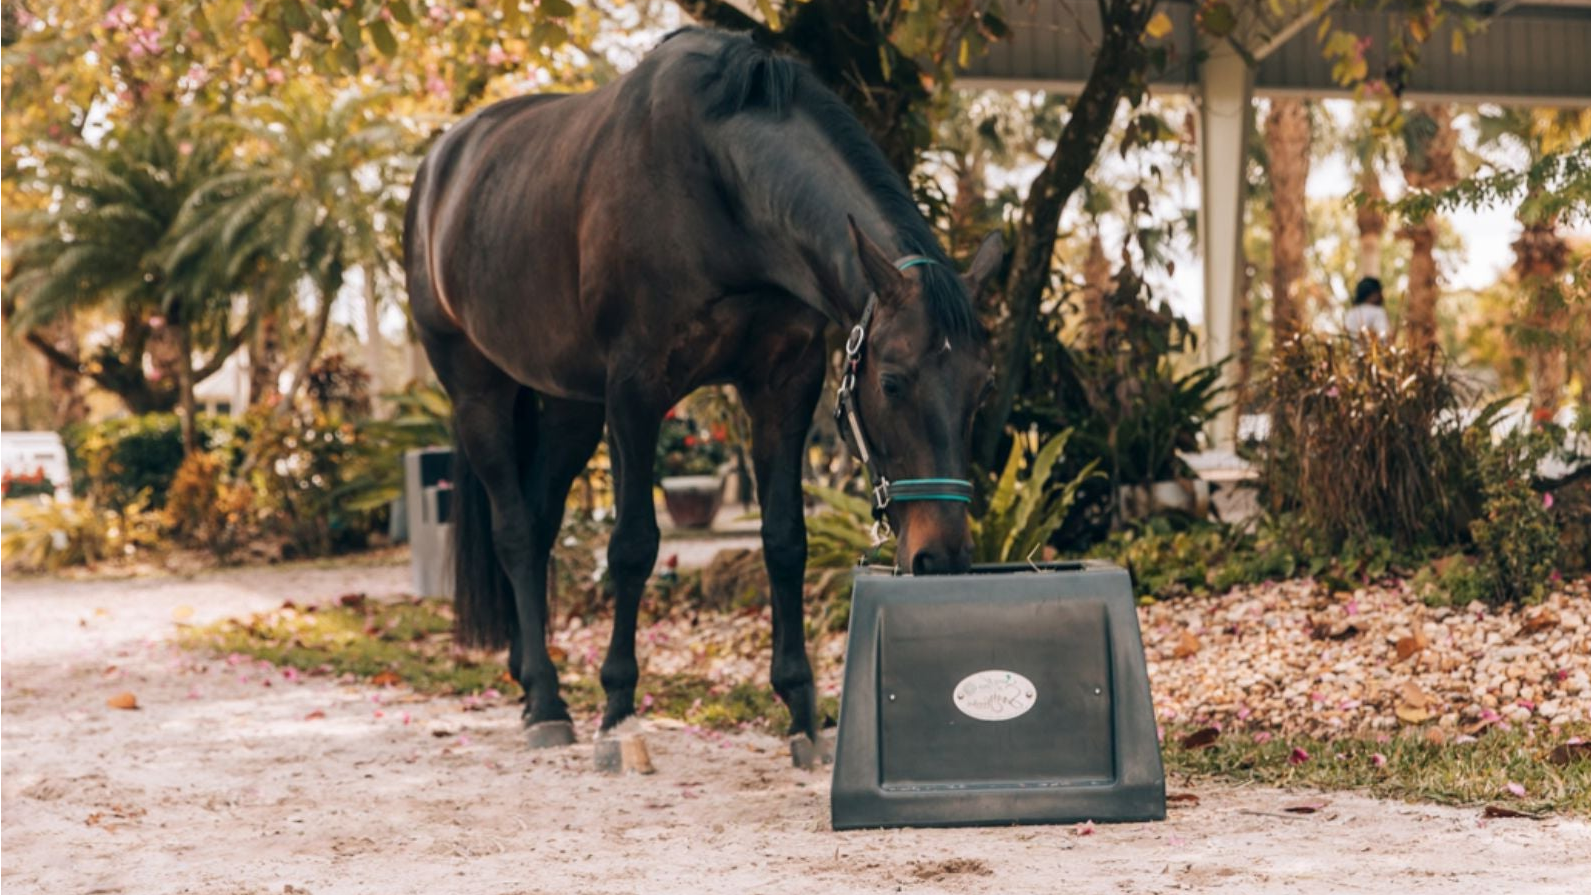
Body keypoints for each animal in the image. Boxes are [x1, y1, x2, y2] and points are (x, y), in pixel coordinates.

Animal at [404, 27, 1002, 763]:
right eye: (891, 381)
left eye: (982, 386)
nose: (941, 556)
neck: (719, 188)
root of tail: (441, 169)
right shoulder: (635, 390)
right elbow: (633, 545)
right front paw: (618, 709)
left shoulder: (783, 382)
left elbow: (785, 539)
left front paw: (801, 708)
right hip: (476, 389)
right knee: (515, 531)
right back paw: (545, 701)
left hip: (569, 406)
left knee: (540, 523)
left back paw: (526, 680)